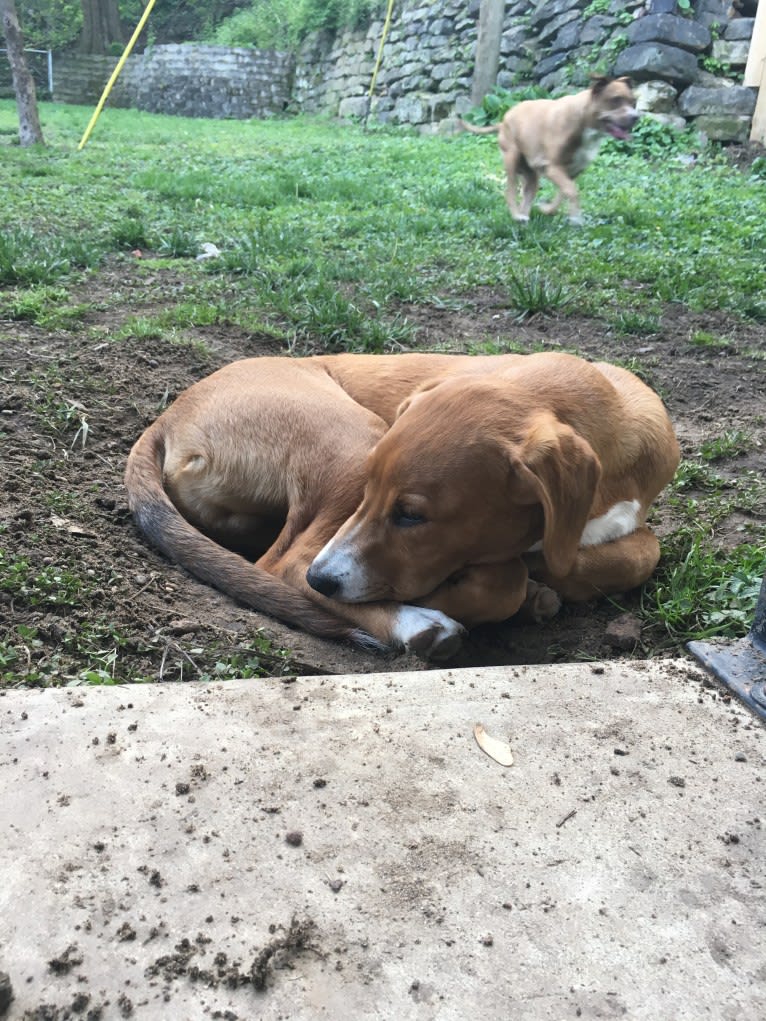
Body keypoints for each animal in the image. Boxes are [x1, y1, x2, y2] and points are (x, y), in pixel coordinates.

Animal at [127, 355, 682, 661]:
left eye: (413, 515)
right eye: (374, 494)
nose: (324, 581)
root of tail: (171, 413)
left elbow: (641, 553)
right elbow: (506, 579)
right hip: (352, 440)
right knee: (286, 565)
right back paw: (420, 623)